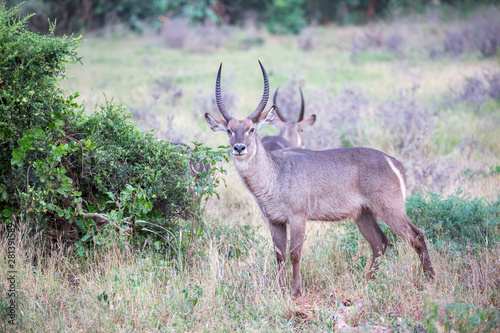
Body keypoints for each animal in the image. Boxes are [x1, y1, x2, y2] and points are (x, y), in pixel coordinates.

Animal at [205, 59, 436, 296]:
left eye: (251, 129)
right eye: (229, 130)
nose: (239, 148)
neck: (275, 173)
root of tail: (394, 162)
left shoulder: (298, 217)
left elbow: (295, 253)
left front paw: (296, 291)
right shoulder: (274, 221)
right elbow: (279, 255)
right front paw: (279, 290)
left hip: (390, 208)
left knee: (417, 236)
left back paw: (429, 280)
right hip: (363, 213)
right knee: (380, 242)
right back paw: (368, 282)